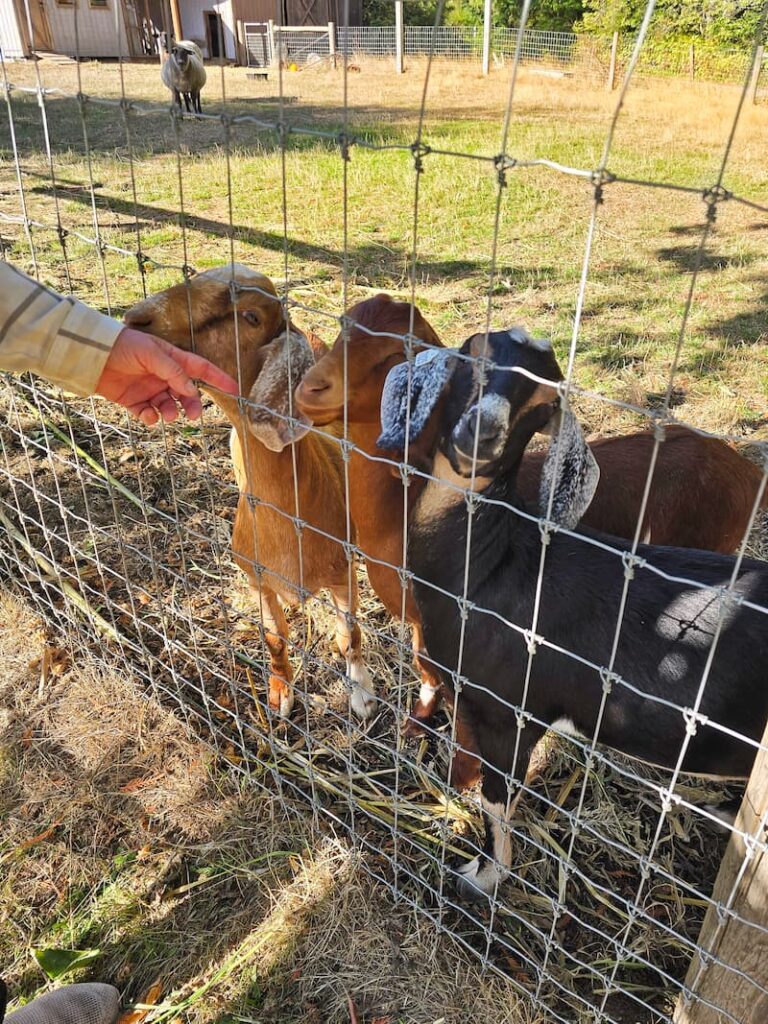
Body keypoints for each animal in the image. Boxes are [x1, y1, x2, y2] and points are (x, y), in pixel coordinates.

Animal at [124, 265, 376, 721]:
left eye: (252, 317)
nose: (136, 319)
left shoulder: (343, 570)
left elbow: (350, 633)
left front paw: (362, 694)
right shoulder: (256, 578)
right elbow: (275, 637)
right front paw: (279, 695)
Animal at [378, 328, 768, 900]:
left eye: (543, 404)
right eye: (473, 352)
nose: (482, 434)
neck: (492, 566)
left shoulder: (512, 712)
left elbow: (495, 800)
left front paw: (483, 877)